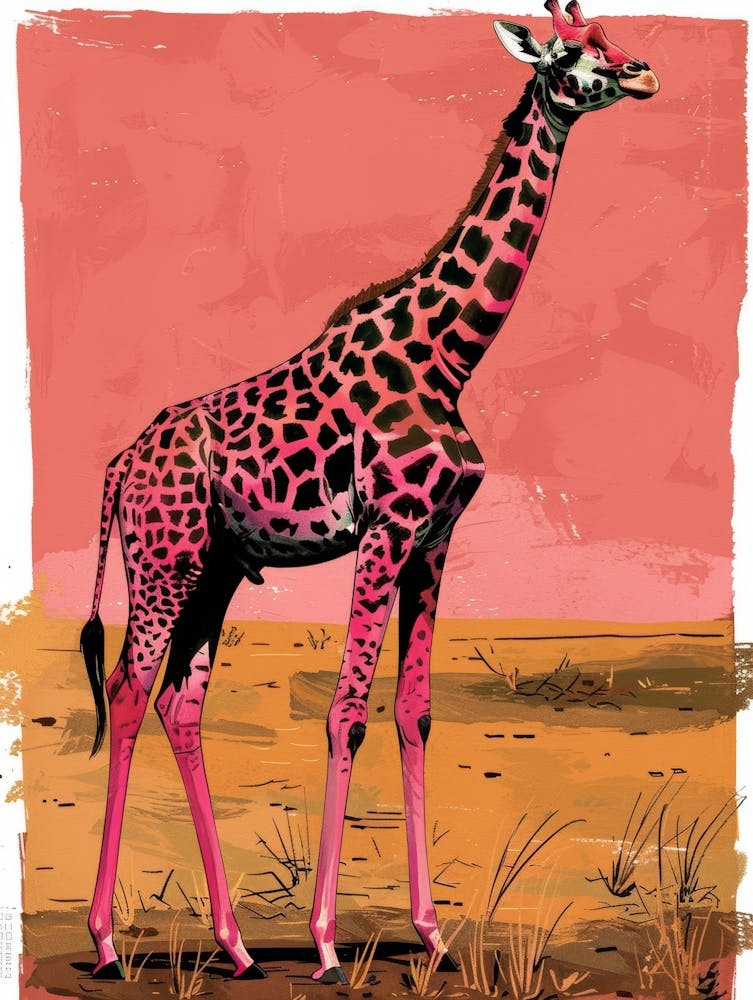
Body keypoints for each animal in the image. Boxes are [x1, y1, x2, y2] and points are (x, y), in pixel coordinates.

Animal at [81, 2, 658, 984]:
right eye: (568, 55)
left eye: (613, 39)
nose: (644, 73)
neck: (449, 352)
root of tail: (124, 464)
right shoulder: (386, 524)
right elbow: (345, 711)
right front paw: (321, 940)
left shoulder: (434, 536)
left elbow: (414, 713)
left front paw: (430, 933)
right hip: (161, 559)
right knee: (127, 688)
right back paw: (110, 942)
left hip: (214, 568)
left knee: (178, 704)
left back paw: (235, 945)